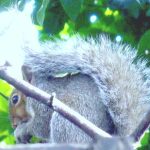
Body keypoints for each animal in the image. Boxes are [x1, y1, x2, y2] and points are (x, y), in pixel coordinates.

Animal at [2, 7, 150, 144]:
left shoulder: (42, 103)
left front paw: (21, 130)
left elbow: (40, 125)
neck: (39, 87)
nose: (13, 124)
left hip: (65, 124)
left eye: (15, 99)